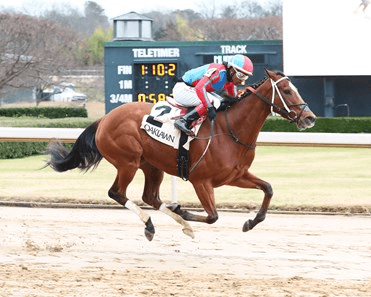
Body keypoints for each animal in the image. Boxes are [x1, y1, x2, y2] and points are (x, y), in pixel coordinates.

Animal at [44, 69, 316, 240]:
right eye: (287, 91)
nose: (310, 117)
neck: (231, 130)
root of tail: (104, 119)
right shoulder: (201, 181)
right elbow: (213, 216)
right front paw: (185, 211)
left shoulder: (235, 176)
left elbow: (268, 188)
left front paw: (251, 222)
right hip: (127, 162)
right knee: (117, 193)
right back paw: (153, 224)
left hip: (152, 165)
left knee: (151, 197)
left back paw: (181, 225)